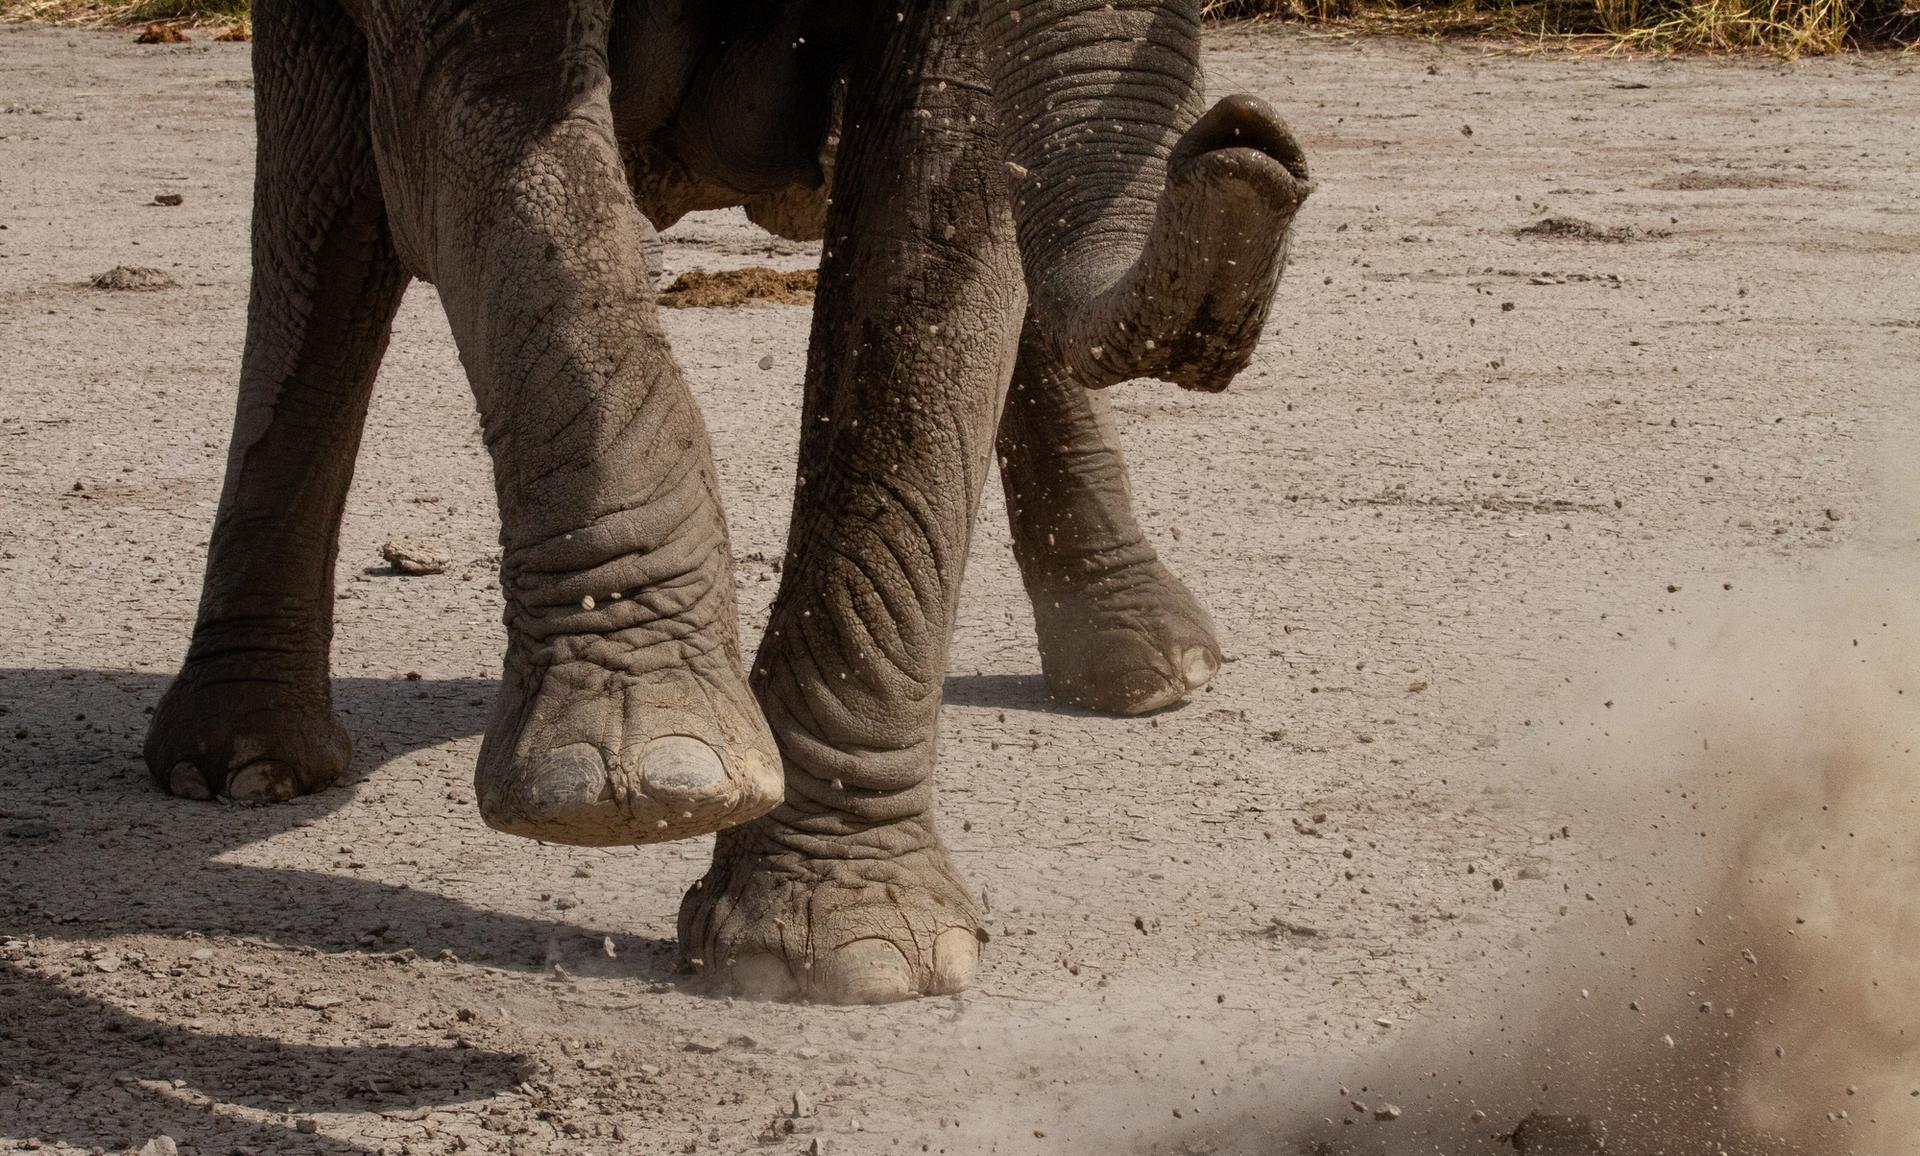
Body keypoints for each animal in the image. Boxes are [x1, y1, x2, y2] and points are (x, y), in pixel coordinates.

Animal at [141, 0, 1311, 1004]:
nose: (1249, 139)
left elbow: (939, 206)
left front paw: (839, 963)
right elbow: (486, 136)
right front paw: (643, 779)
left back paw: (1153, 674)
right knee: (326, 231)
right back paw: (241, 770)